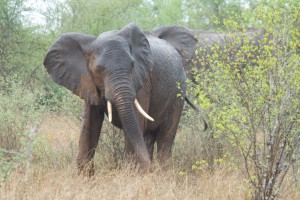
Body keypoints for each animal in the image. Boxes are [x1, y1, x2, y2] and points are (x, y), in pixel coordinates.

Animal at [42, 21, 199, 175]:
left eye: (132, 65)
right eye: (98, 69)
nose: (148, 168)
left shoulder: (142, 81)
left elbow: (134, 124)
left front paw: (131, 173)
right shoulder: (87, 81)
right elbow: (90, 123)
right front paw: (85, 176)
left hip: (178, 93)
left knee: (166, 136)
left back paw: (161, 172)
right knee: (149, 136)